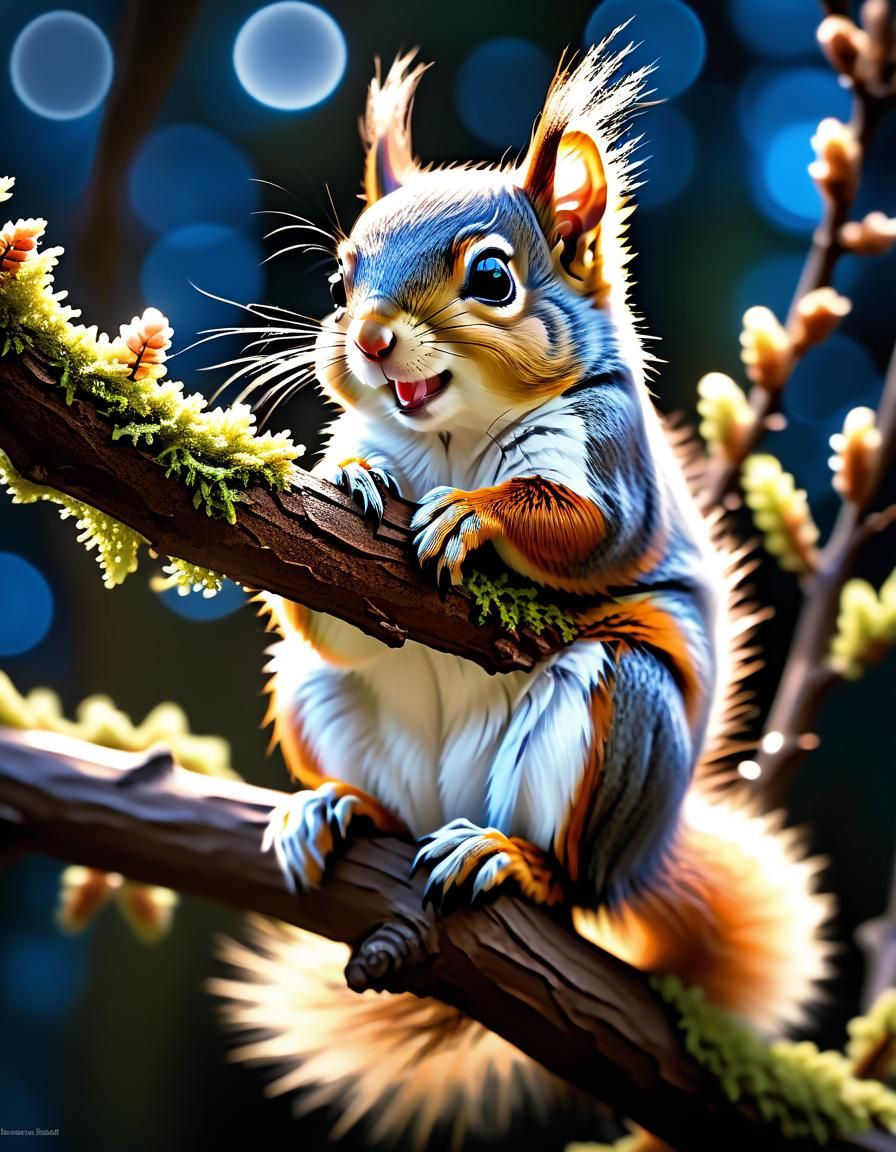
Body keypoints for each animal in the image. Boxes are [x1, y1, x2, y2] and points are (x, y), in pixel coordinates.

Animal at [212, 41, 833, 1149]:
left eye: (492, 276)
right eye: (341, 273)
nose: (367, 338)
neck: (451, 436)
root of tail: (645, 852)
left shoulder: (610, 466)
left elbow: (578, 527)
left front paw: (472, 514)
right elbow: (328, 611)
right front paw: (354, 478)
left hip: (616, 719)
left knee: (572, 884)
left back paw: (509, 859)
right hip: (319, 707)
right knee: (364, 760)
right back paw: (336, 807)